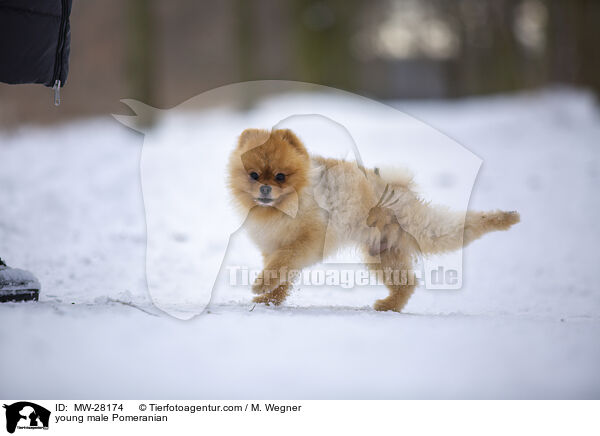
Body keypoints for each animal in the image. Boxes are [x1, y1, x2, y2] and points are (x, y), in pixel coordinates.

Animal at [227, 127, 516, 312]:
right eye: (253, 175)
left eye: (280, 176)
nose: (265, 188)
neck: (281, 208)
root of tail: (397, 187)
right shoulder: (272, 245)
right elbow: (281, 274)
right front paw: (268, 300)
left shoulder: (306, 241)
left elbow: (283, 263)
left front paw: (261, 286)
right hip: (383, 253)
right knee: (407, 282)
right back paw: (388, 306)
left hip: (422, 229)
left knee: (458, 227)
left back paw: (505, 217)